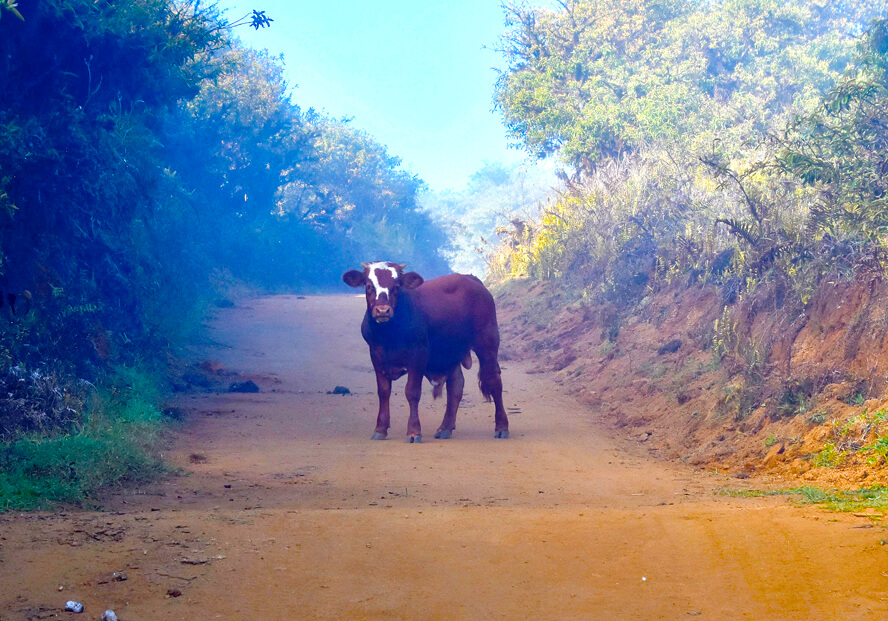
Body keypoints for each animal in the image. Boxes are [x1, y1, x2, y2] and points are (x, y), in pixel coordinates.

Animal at [342, 261, 509, 443]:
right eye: (369, 285)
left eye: (397, 286)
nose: (382, 310)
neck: (389, 334)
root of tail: (472, 279)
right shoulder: (376, 355)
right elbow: (384, 391)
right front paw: (380, 429)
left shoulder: (418, 355)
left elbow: (412, 392)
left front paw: (414, 431)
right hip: (450, 351)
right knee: (456, 386)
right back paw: (445, 427)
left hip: (488, 343)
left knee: (494, 381)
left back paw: (501, 427)